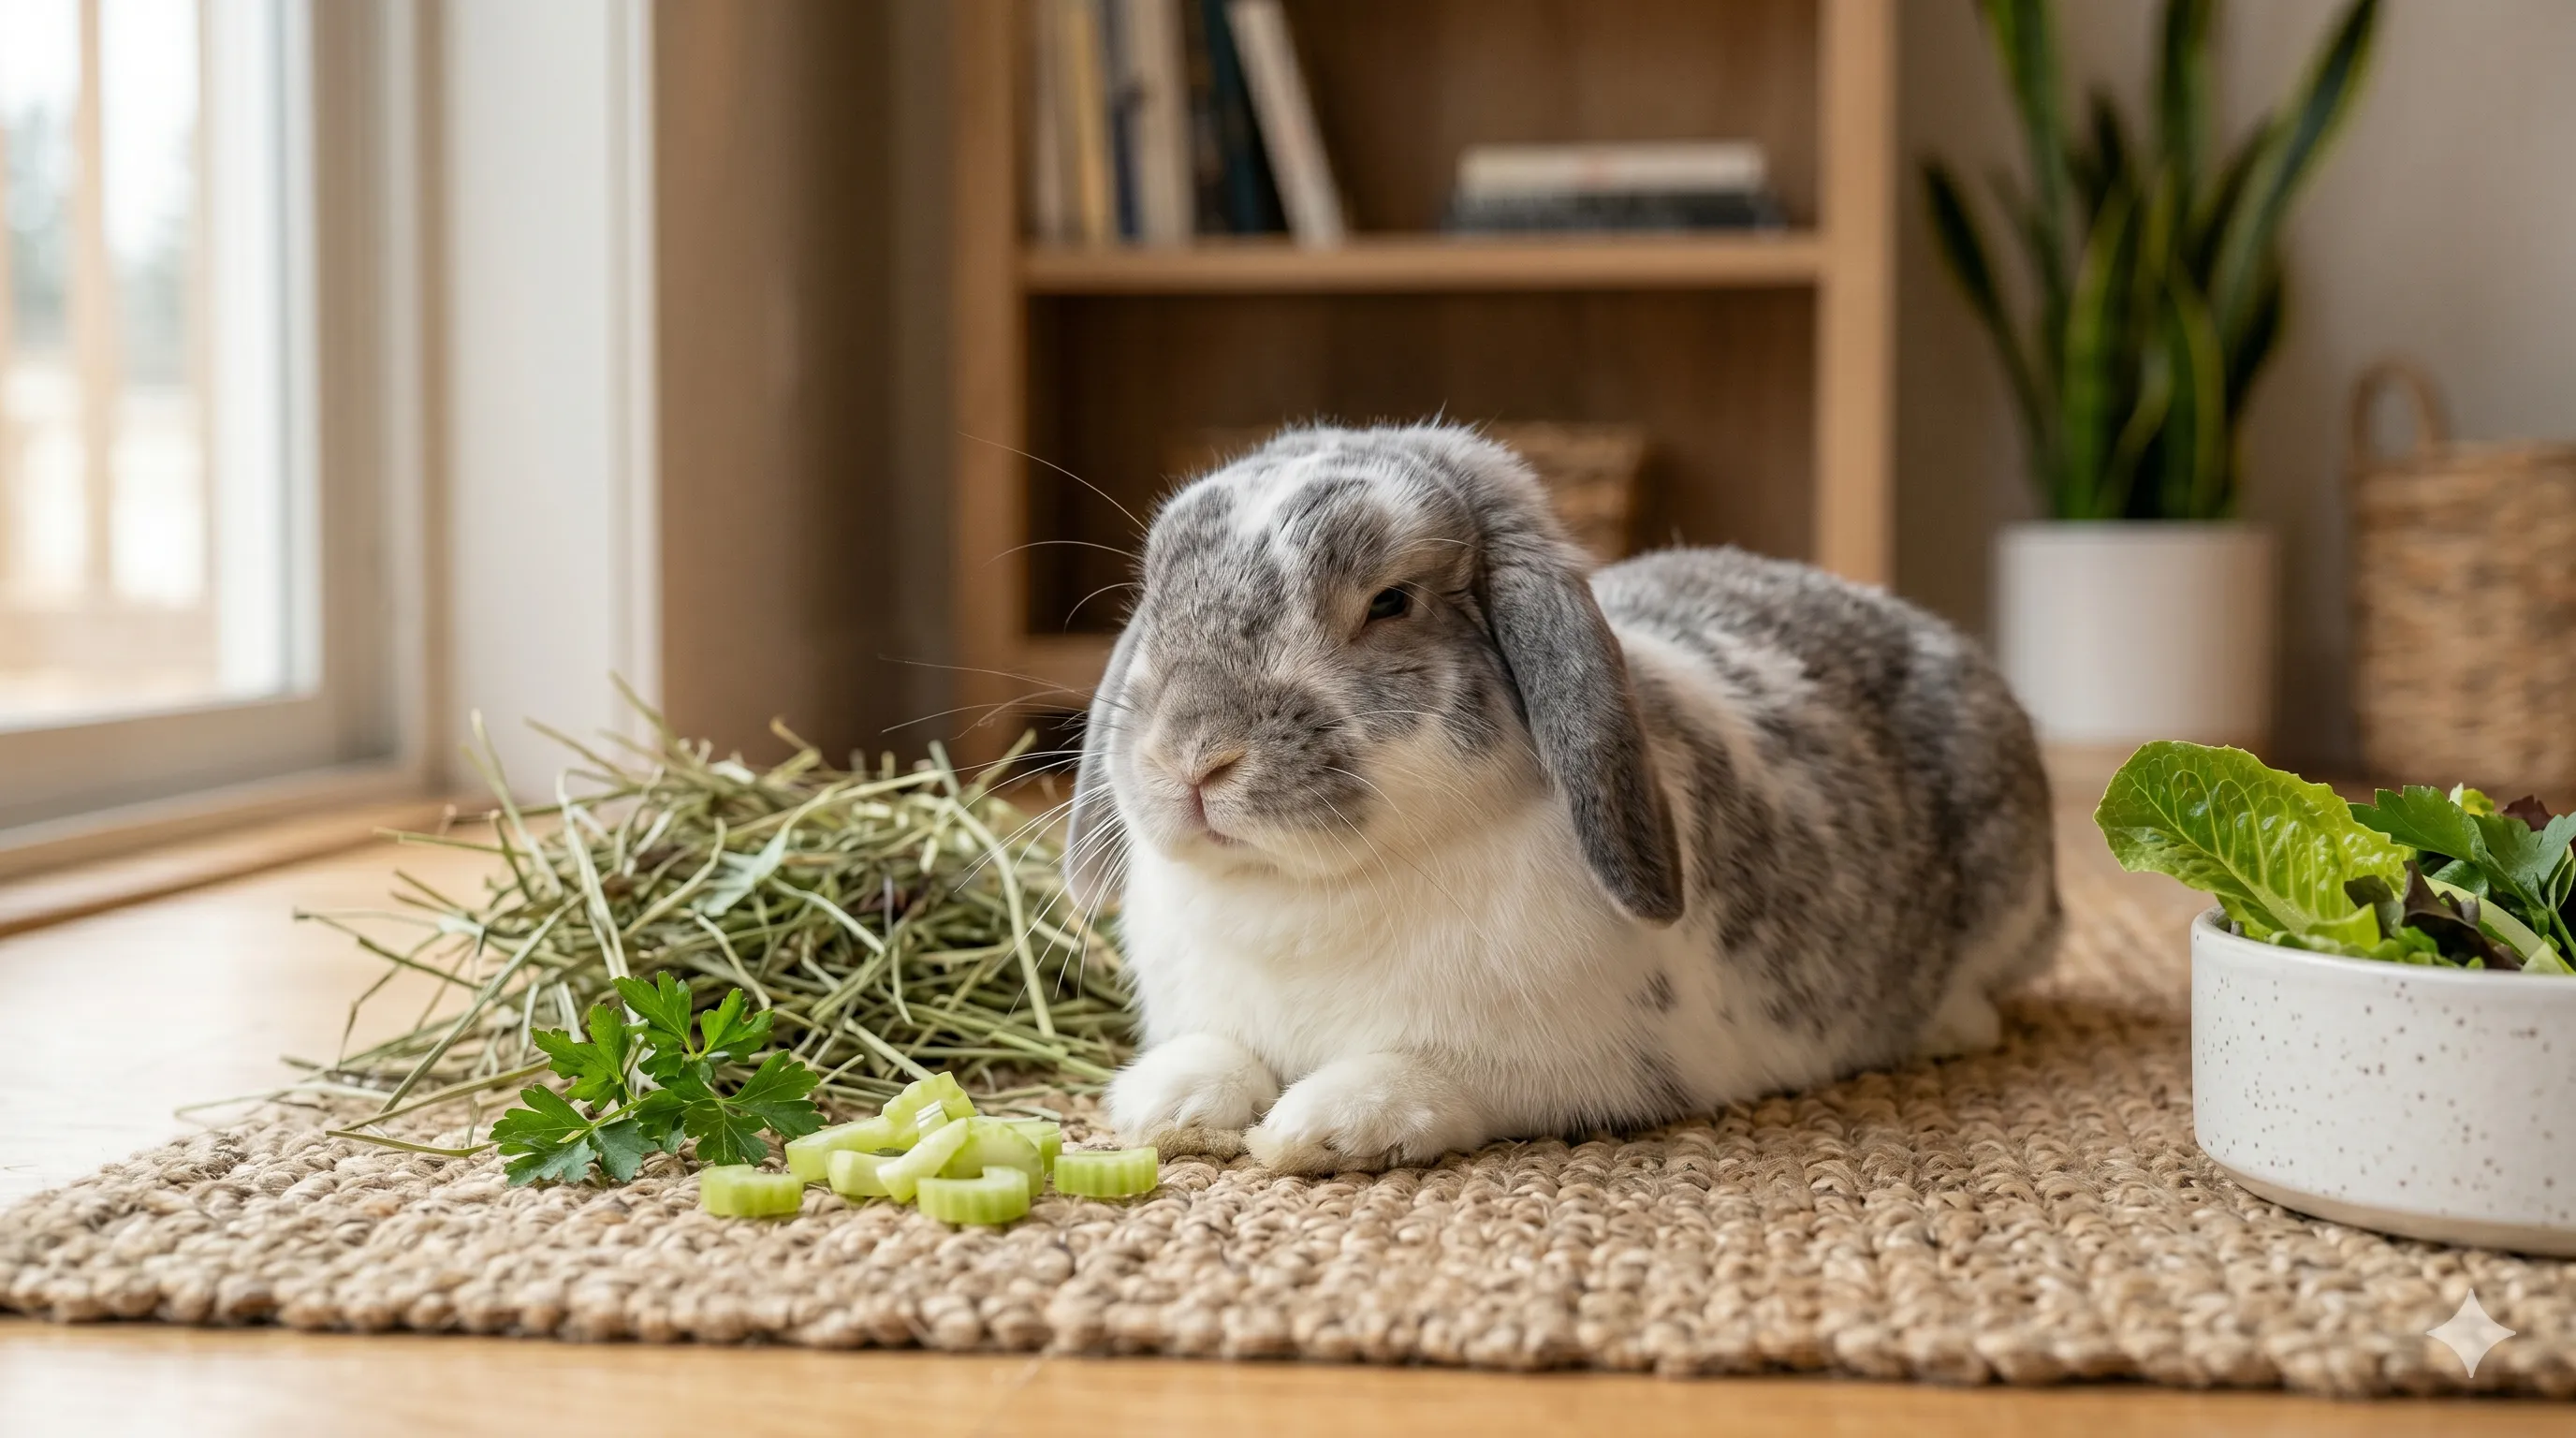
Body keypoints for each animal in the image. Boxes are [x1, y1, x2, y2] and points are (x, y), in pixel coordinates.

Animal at [1063, 423, 2059, 1174]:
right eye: (1158, 593)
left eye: (1390, 601)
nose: (1192, 758)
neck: (1303, 897)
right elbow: (1210, 1052)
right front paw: (1168, 1106)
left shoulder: (1559, 1071)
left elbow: (1427, 1078)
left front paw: (1322, 1128)